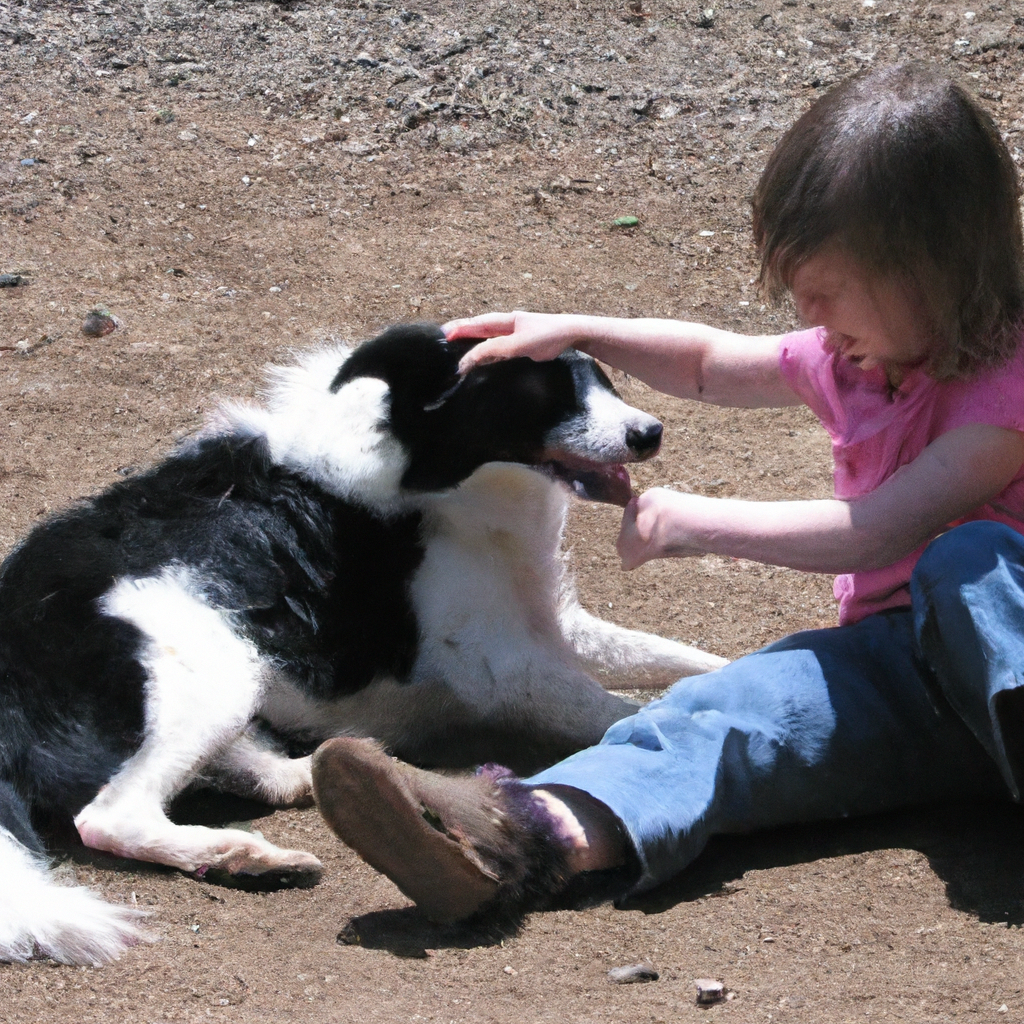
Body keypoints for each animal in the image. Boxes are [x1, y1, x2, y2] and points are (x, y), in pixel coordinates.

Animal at [0, 323, 724, 962]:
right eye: (536, 390)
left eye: (600, 376)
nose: (650, 432)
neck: (434, 477)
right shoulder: (513, 669)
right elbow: (636, 712)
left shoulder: (559, 629)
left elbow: (696, 662)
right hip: (211, 666)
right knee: (112, 816)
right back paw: (243, 854)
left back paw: (312, 779)